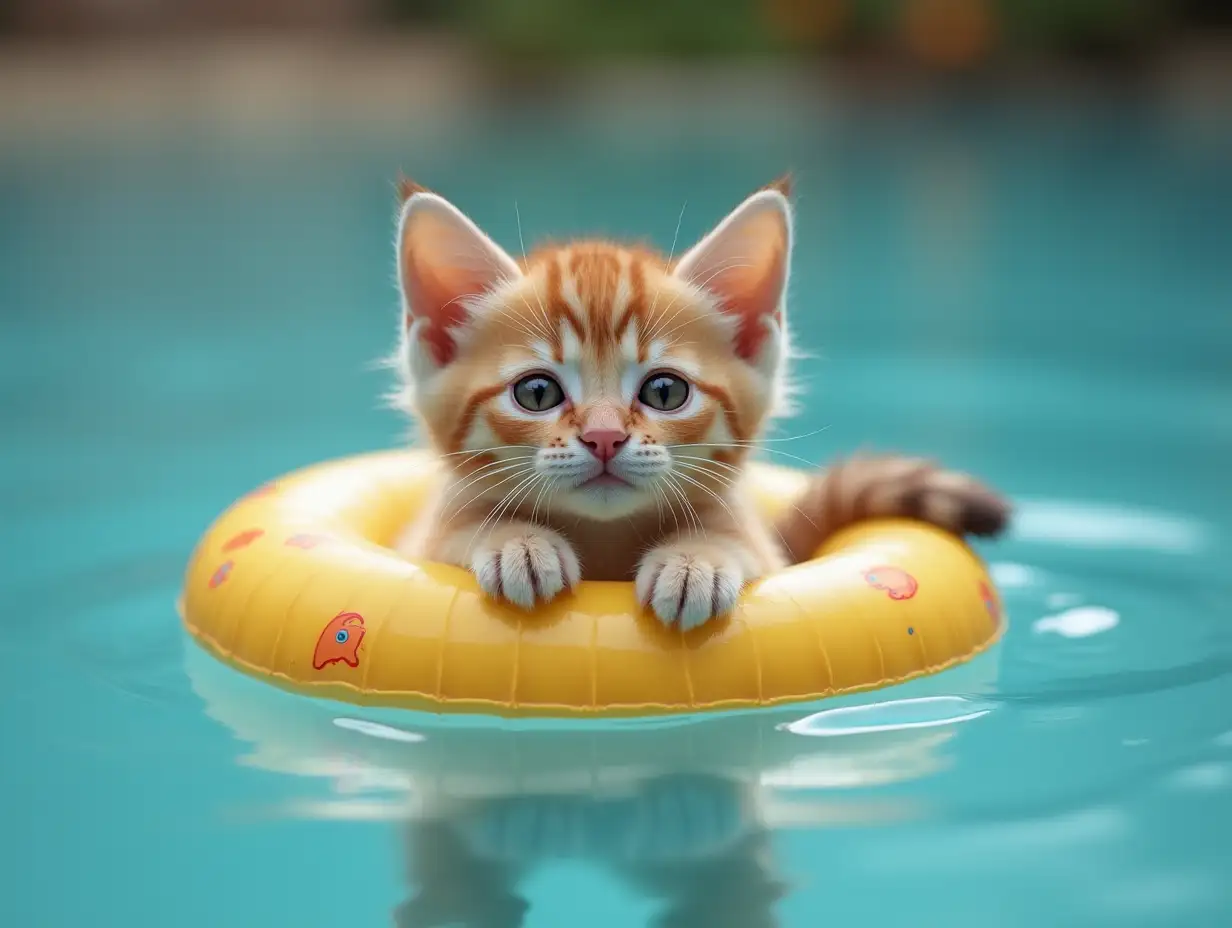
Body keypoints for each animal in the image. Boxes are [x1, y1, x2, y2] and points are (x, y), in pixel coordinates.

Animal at [389, 175, 1005, 630]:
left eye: (665, 391)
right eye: (536, 393)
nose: (605, 437)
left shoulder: (760, 544)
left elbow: (733, 540)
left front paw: (694, 561)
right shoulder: (422, 538)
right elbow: (448, 535)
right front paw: (514, 542)